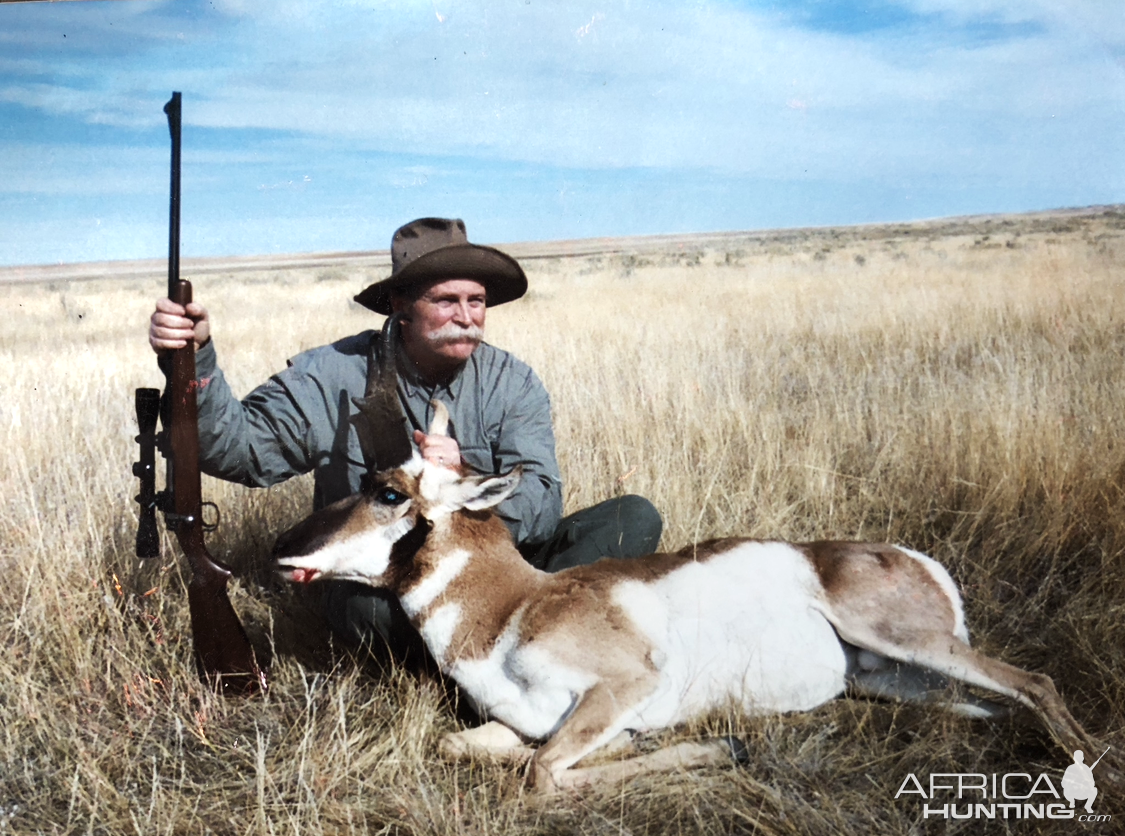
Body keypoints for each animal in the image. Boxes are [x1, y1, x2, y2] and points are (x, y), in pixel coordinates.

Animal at [270, 326, 1107, 792]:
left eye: (386, 491)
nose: (284, 552)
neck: (512, 609)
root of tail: (905, 556)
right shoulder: (533, 719)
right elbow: (473, 745)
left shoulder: (624, 685)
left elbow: (540, 775)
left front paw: (716, 746)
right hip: (894, 680)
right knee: (996, 703)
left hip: (907, 641)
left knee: (1033, 681)